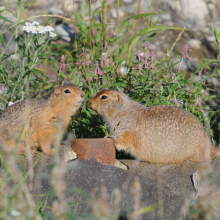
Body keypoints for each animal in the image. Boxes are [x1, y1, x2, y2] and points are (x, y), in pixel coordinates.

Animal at [90, 89, 220, 163]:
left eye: (104, 97)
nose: (90, 101)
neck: (123, 111)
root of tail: (208, 143)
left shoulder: (128, 130)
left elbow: (125, 141)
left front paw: (111, 138)